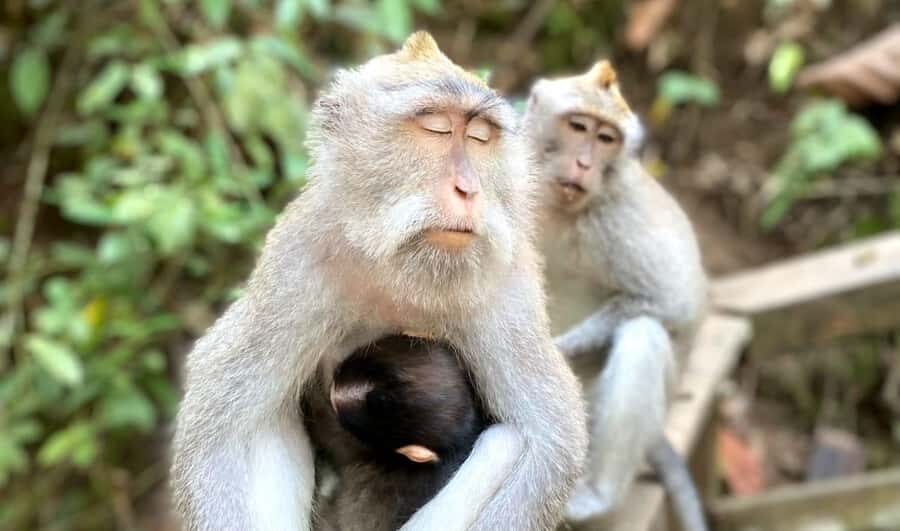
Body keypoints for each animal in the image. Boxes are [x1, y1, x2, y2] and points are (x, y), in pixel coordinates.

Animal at [523, 61, 709, 530]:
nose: (585, 163)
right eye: (578, 126)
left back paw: (597, 495)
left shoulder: (620, 215)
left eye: (607, 138)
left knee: (643, 335)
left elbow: (675, 299)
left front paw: (554, 351)